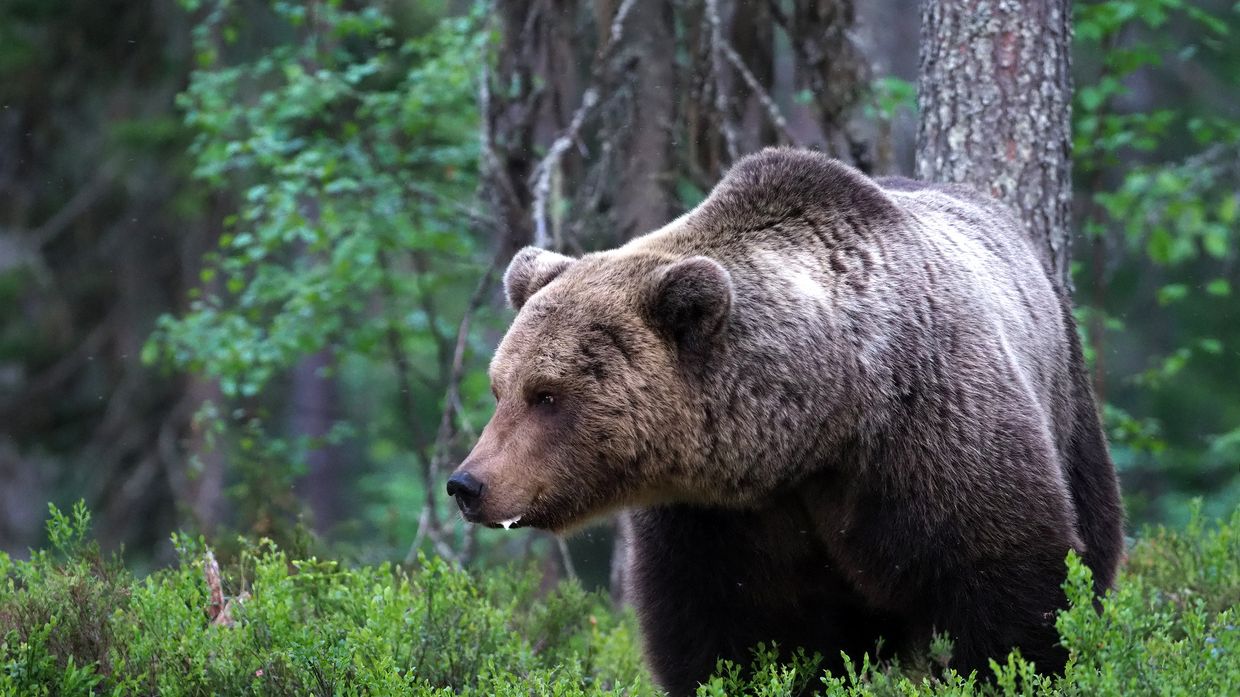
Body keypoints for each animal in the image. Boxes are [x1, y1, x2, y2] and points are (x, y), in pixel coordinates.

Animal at [446, 148, 1124, 696]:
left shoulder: (928, 439)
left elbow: (1011, 594)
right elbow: (718, 635)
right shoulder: (716, 521)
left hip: (1070, 405)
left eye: (548, 394)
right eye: (501, 388)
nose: (467, 484)